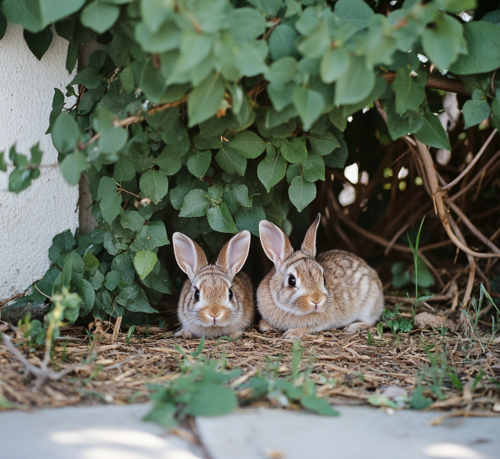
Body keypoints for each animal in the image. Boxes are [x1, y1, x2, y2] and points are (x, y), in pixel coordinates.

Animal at [256, 214, 384, 340]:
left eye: (323, 278)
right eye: (291, 281)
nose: (317, 300)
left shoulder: (323, 323)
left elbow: (309, 328)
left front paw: (293, 333)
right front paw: (264, 325)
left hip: (368, 305)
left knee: (371, 322)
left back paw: (352, 327)